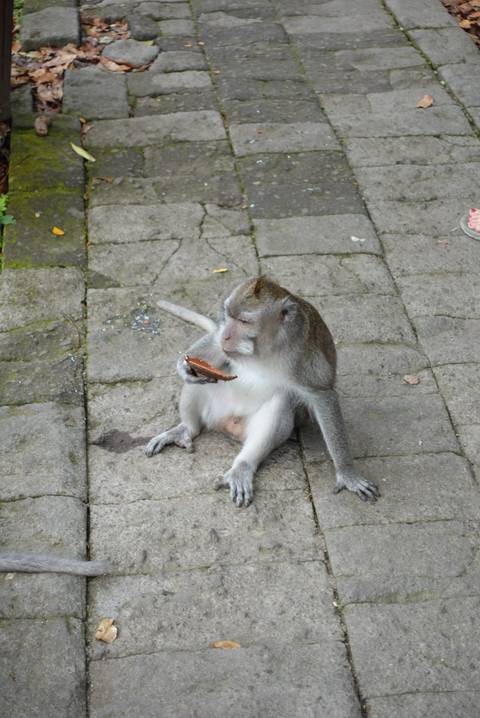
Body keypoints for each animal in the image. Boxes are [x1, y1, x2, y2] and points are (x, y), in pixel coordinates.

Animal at [145, 277, 379, 508]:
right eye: (229, 316)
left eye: (244, 321)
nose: (227, 336)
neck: (265, 349)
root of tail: (227, 424)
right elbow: (214, 344)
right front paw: (183, 366)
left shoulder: (304, 356)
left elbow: (323, 396)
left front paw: (347, 473)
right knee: (201, 385)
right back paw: (186, 428)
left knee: (281, 400)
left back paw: (242, 467)